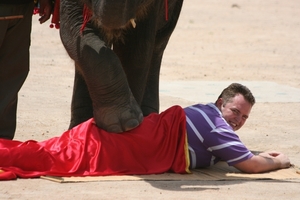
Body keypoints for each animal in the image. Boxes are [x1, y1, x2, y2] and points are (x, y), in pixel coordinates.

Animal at [59, 0, 183, 133]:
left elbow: (135, 49)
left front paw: (130, 129)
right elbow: (77, 27)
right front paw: (123, 124)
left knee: (159, 44)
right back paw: (78, 127)